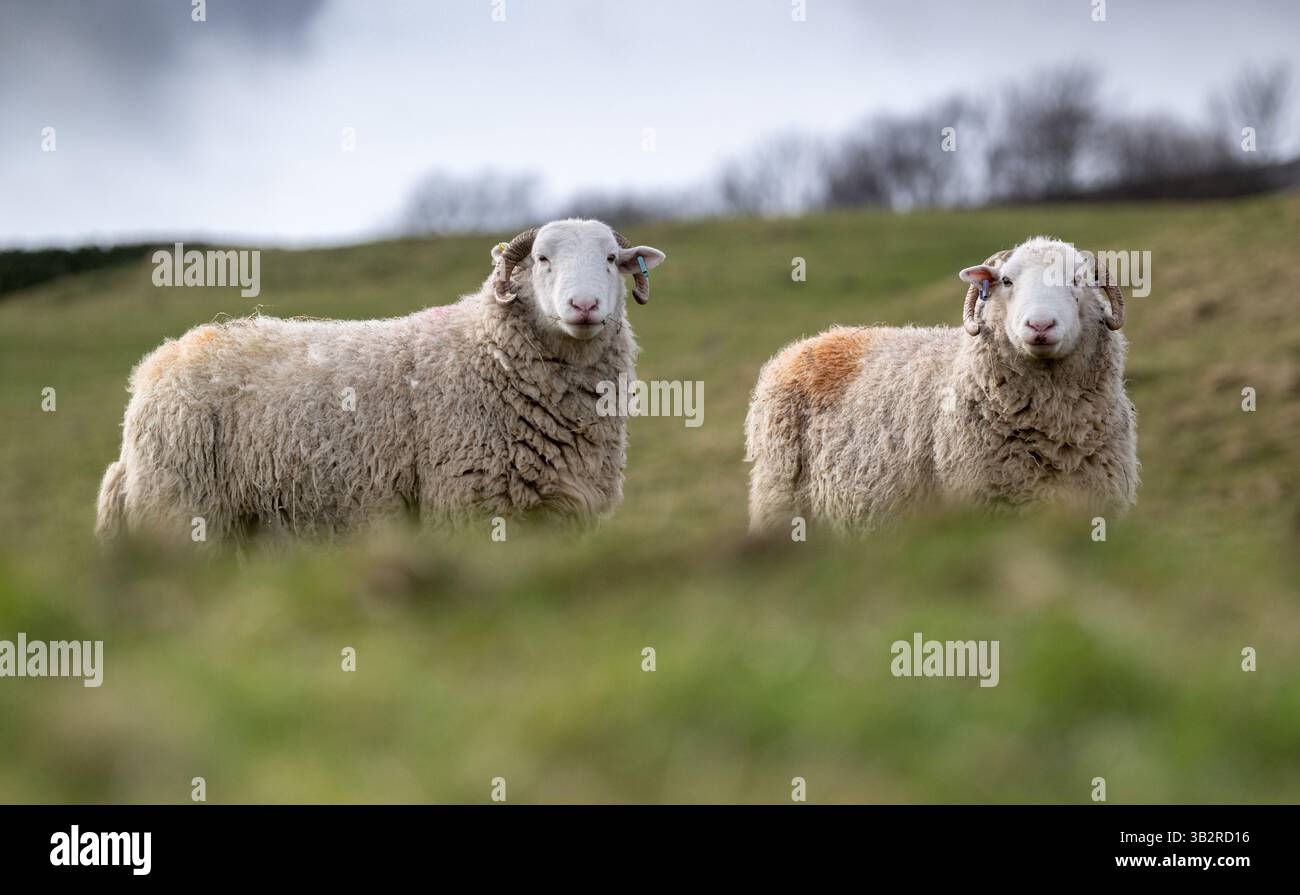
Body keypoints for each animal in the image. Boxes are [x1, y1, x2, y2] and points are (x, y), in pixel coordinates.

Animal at [95, 219, 667, 543]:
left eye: (612, 260)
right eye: (543, 259)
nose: (584, 305)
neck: (487, 351)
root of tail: (155, 366)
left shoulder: (559, 511)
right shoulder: (469, 505)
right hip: (181, 508)